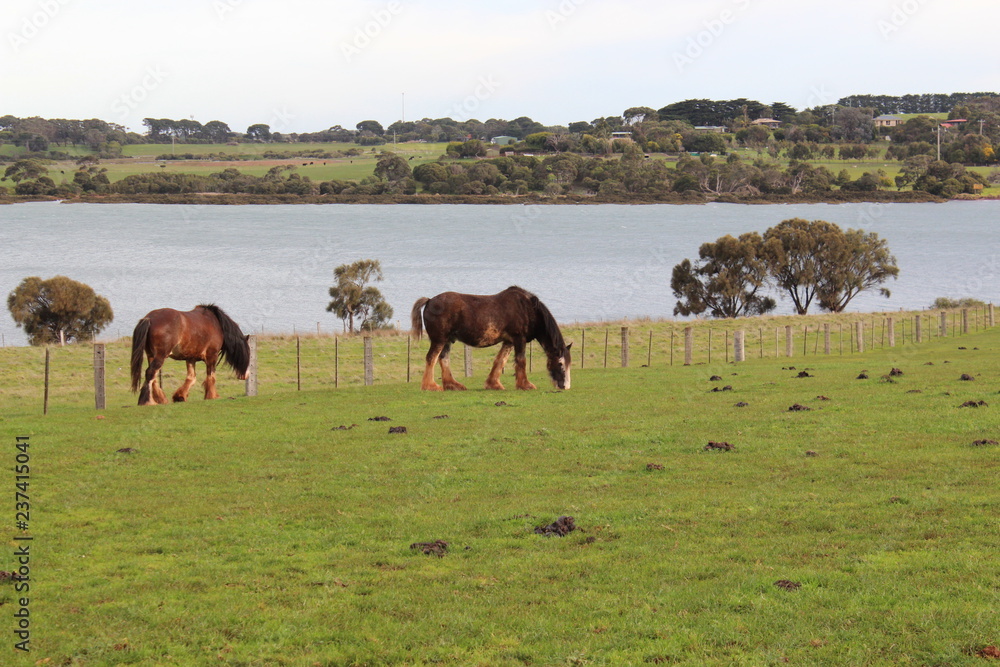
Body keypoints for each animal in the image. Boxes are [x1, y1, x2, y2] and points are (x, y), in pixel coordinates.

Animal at [412, 286, 572, 392]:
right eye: (560, 363)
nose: (565, 386)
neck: (527, 309)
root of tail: (430, 300)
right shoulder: (519, 339)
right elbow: (521, 361)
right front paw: (525, 385)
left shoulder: (509, 341)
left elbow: (500, 360)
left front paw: (493, 384)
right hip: (439, 339)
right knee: (431, 358)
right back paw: (430, 386)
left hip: (447, 340)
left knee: (443, 359)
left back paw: (452, 385)